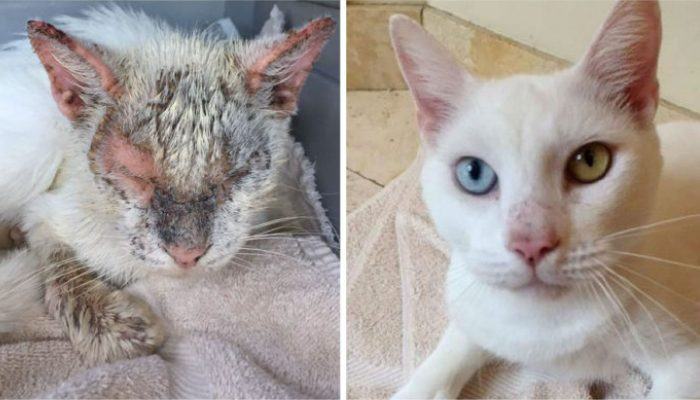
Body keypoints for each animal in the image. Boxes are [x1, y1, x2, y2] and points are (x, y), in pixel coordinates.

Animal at [0, 7, 336, 362]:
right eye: (133, 173)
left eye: (236, 174)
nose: (186, 253)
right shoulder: (47, 212)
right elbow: (57, 260)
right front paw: (113, 326)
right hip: (35, 153)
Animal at [392, 1, 700, 398]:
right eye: (473, 173)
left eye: (590, 161)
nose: (531, 242)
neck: (543, 327)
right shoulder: (473, 305)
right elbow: (452, 352)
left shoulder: (686, 362)